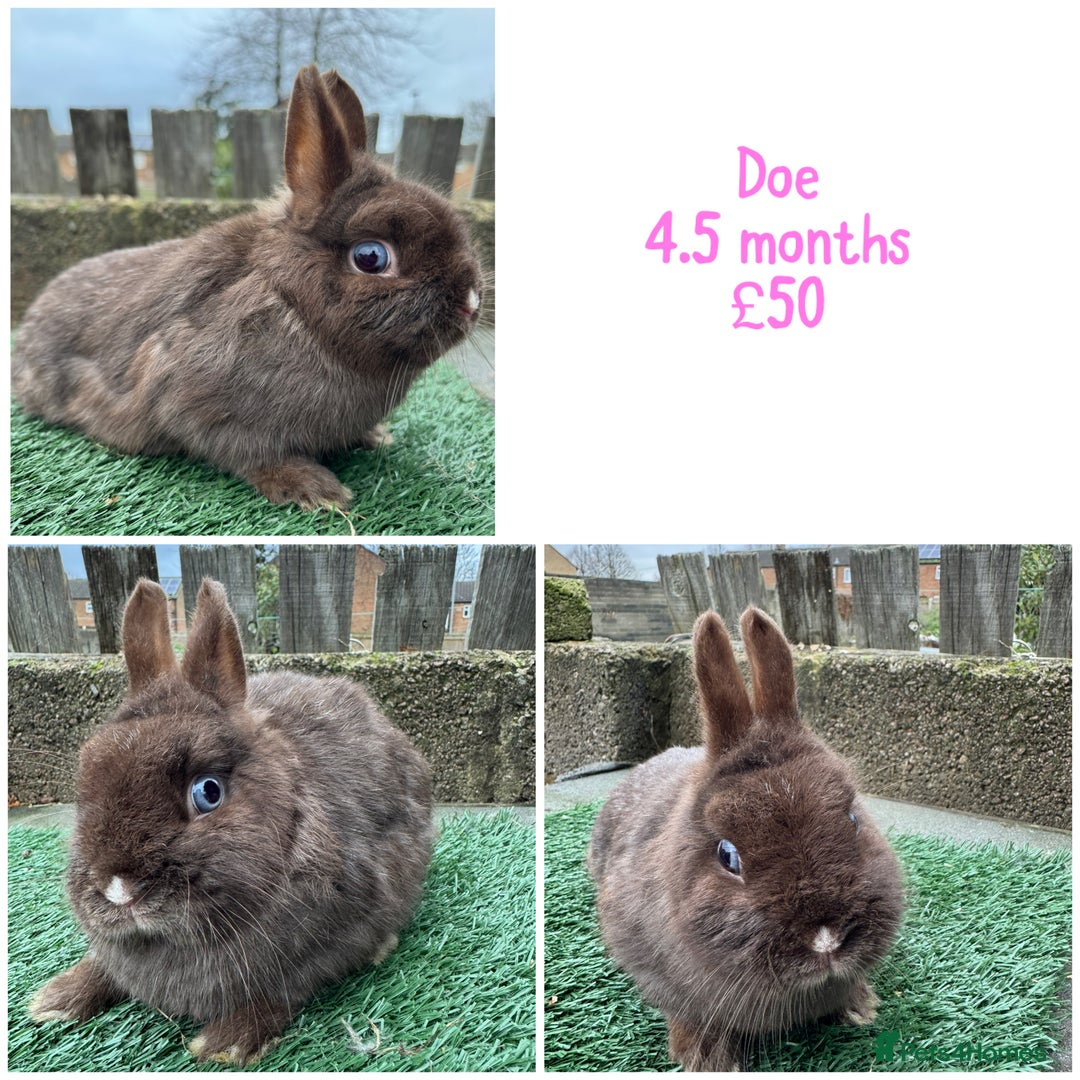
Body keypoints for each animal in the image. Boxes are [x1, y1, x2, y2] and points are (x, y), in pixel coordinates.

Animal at [12, 65, 483, 511]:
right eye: (371, 257)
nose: (471, 302)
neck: (295, 309)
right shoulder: (200, 404)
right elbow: (251, 455)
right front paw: (317, 490)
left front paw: (375, 437)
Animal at [27, 577, 434, 1065]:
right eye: (86, 777)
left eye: (208, 792)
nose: (118, 888)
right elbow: (105, 968)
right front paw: (55, 1000)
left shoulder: (326, 944)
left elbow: (283, 991)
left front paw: (225, 1043)